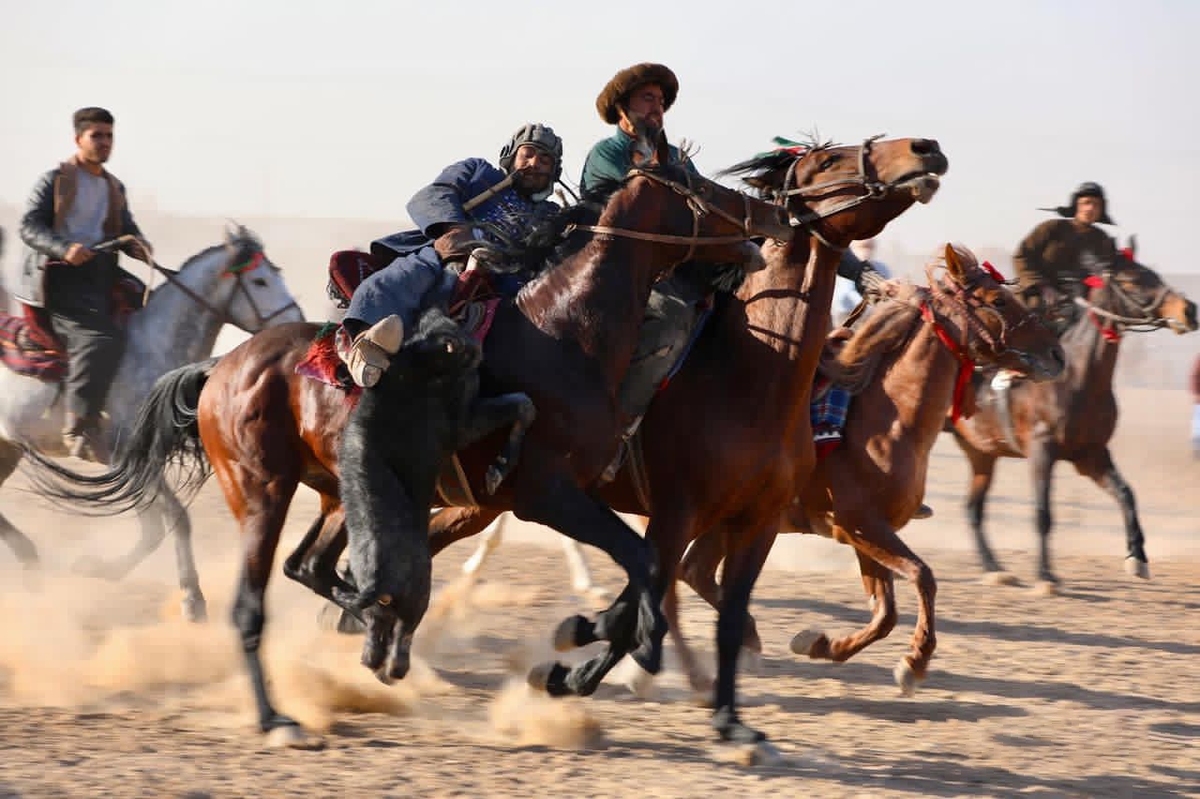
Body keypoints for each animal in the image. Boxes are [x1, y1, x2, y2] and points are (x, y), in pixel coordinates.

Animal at [2, 218, 302, 609]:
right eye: (261, 281)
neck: (151, 348)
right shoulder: (124, 458)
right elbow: (175, 518)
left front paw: (102, 569)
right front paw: (192, 597)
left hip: (7, 448)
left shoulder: (141, 461)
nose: (296, 322)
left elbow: (153, 529)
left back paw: (30, 560)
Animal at [427, 133, 950, 743]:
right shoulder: (677, 512)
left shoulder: (758, 520)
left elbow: (712, 613)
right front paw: (573, 661)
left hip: (484, 498)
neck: (753, 377)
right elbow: (649, 595)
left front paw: (731, 722)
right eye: (826, 160)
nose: (925, 148)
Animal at [657, 242, 1070, 695]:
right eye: (997, 301)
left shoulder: (869, 532)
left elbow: (885, 611)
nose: (1057, 354)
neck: (890, 419)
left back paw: (746, 640)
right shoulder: (859, 523)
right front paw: (913, 663)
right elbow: (922, 576)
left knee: (694, 570)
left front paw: (819, 644)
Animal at [950, 237, 1195, 585]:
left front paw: (1137, 557)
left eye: (1154, 275)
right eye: (1134, 280)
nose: (1189, 310)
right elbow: (1043, 514)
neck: (1077, 378)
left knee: (973, 509)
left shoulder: (1090, 455)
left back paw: (995, 569)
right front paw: (1045, 576)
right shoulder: (1042, 451)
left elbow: (1126, 493)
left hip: (981, 453)